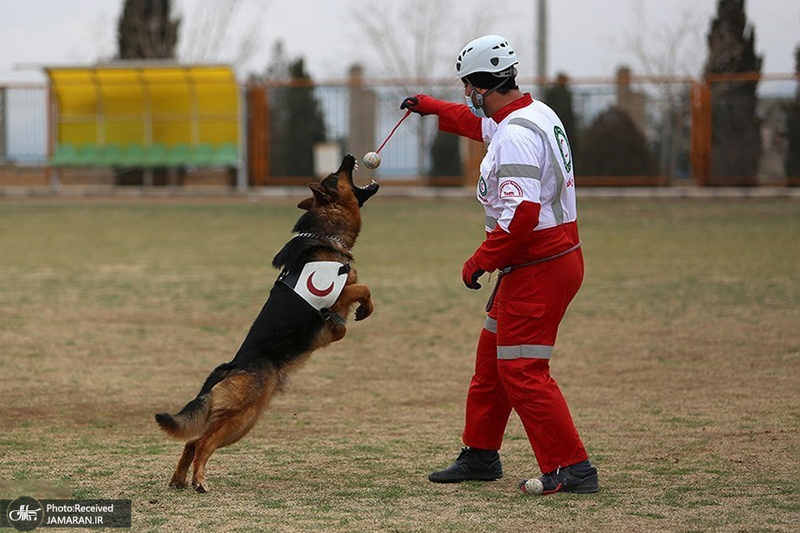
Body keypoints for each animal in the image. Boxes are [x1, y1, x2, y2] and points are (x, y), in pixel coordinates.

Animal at [159, 153, 382, 490]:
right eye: (336, 175)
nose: (348, 156)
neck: (325, 235)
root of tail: (231, 366)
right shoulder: (335, 293)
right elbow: (363, 287)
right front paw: (364, 310)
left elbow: (348, 313)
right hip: (241, 418)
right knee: (202, 443)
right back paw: (199, 481)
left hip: (243, 421)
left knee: (192, 441)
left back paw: (179, 480)